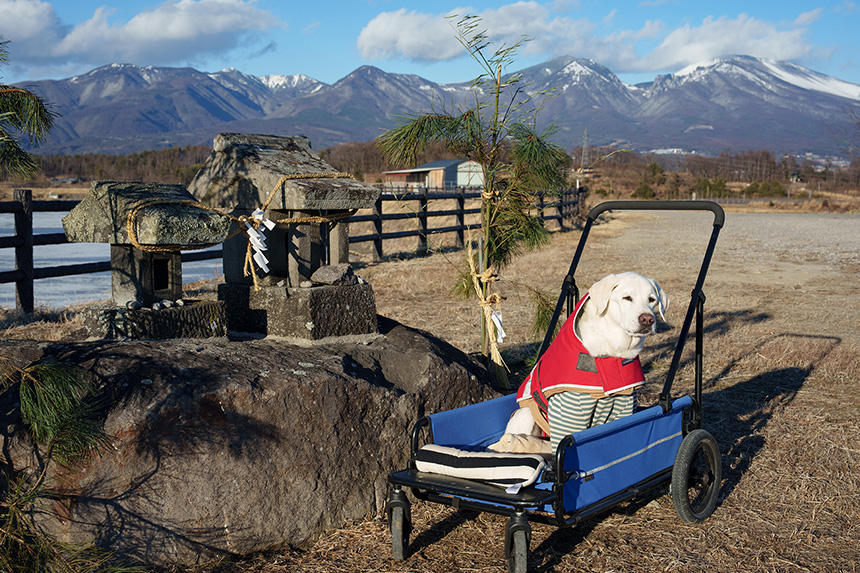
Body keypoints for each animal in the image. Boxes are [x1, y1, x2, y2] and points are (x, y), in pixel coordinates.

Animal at [494, 270, 668, 450]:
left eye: (652, 300)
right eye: (627, 298)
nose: (647, 319)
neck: (612, 349)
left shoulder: (624, 410)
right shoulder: (569, 417)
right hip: (526, 415)